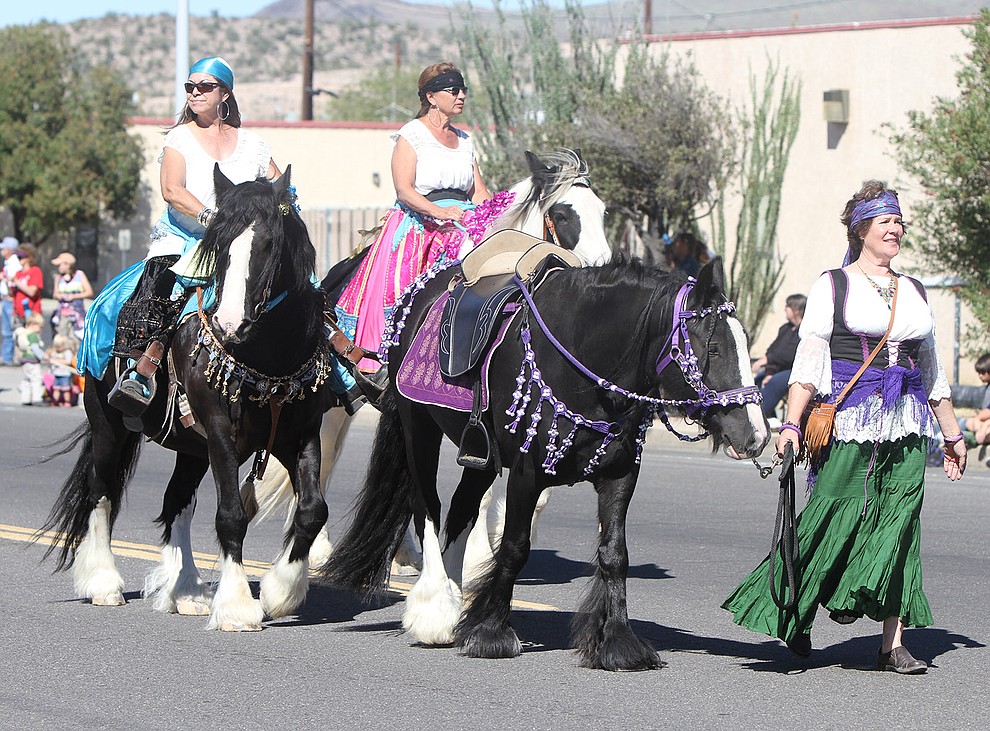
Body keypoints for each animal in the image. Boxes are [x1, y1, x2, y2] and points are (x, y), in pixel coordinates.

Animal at [42, 166, 334, 628]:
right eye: (218, 245)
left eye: (270, 243)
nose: (229, 323)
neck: (268, 357)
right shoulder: (220, 433)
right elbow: (231, 515)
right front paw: (236, 606)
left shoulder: (300, 435)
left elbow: (311, 510)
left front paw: (281, 591)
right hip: (109, 425)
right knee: (100, 491)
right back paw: (104, 583)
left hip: (191, 447)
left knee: (175, 501)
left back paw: (187, 591)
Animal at [252, 150, 616, 572]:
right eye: (562, 214)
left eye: (602, 211)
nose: (601, 267)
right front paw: (477, 556)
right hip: (333, 409)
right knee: (322, 466)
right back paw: (318, 549)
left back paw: (404, 553)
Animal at [326, 256, 776, 668]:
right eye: (714, 347)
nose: (755, 435)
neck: (584, 363)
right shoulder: (527, 474)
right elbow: (514, 548)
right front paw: (491, 633)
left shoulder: (619, 475)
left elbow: (615, 554)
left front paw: (618, 643)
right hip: (418, 427)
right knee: (427, 509)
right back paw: (435, 611)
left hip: (481, 455)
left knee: (461, 510)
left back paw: (455, 609)